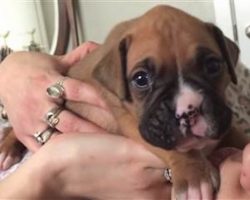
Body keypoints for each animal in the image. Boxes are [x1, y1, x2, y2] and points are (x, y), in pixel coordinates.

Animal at [65, 5, 247, 199]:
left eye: (213, 66)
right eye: (141, 79)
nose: (188, 110)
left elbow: (238, 136)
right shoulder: (132, 122)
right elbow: (177, 148)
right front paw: (194, 180)